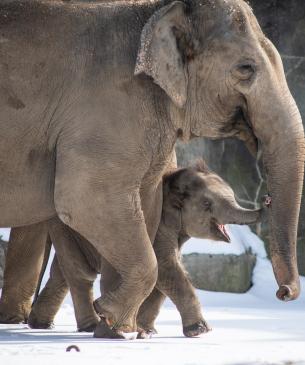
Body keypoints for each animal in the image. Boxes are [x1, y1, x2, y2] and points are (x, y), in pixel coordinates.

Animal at [27, 161, 262, 336]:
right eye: (206, 204)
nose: (266, 200)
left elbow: (166, 273)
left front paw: (146, 331)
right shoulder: (158, 225)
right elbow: (166, 267)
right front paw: (200, 331)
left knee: (61, 273)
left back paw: (41, 324)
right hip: (64, 227)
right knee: (80, 274)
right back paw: (90, 327)